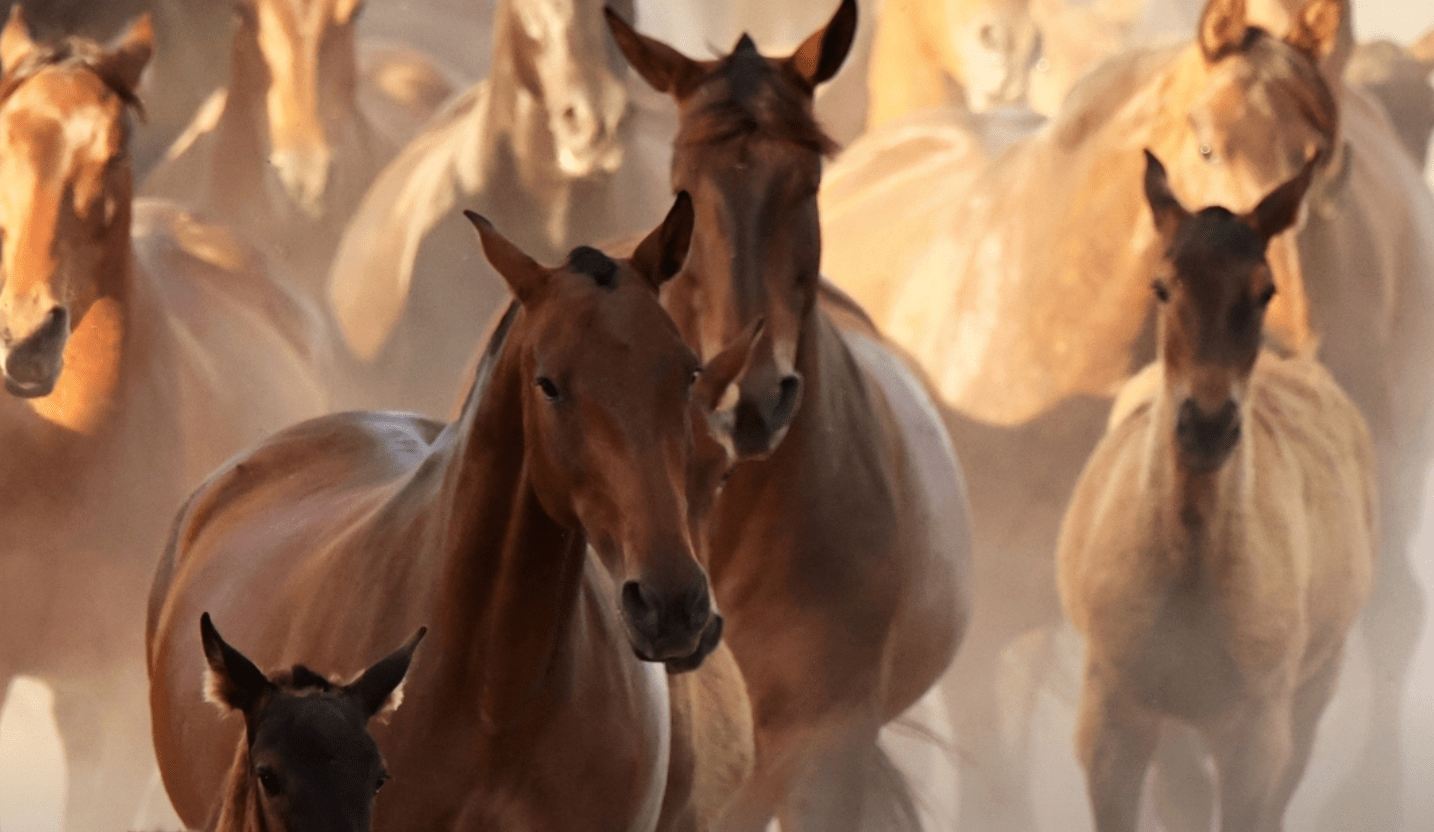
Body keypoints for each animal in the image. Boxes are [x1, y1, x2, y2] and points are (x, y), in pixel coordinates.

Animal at [1057, 149, 1376, 832]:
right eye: (1161, 286)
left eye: (1264, 292)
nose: (1205, 427)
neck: (1190, 566)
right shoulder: (1112, 725)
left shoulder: (1256, 739)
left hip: (1312, 692)